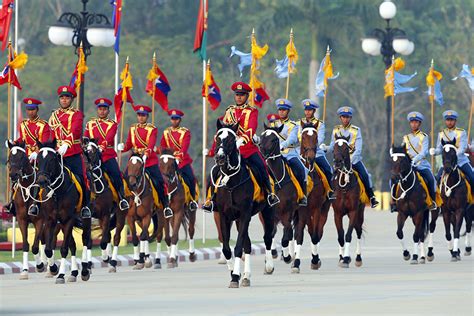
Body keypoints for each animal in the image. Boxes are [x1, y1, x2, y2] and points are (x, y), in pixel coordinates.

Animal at [6, 141, 47, 278]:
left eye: (22, 157)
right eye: (10, 158)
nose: (13, 175)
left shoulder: (40, 221)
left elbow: (34, 247)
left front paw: (39, 265)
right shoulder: (21, 220)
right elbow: (25, 245)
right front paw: (24, 270)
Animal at [34, 139, 91, 282]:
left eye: (52, 159)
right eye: (38, 160)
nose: (42, 181)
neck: (57, 192)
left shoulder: (69, 219)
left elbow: (64, 249)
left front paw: (60, 274)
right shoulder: (51, 220)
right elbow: (49, 249)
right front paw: (53, 269)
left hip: (85, 219)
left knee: (85, 240)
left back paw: (84, 271)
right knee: (73, 244)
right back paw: (74, 273)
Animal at [212, 121, 274, 288]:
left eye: (230, 140)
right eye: (217, 138)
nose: (220, 157)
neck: (232, 182)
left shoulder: (245, 214)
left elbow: (238, 247)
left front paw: (235, 276)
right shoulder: (224, 216)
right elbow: (227, 248)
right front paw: (235, 273)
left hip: (266, 211)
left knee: (267, 238)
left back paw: (268, 266)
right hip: (239, 220)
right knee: (248, 244)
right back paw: (246, 276)